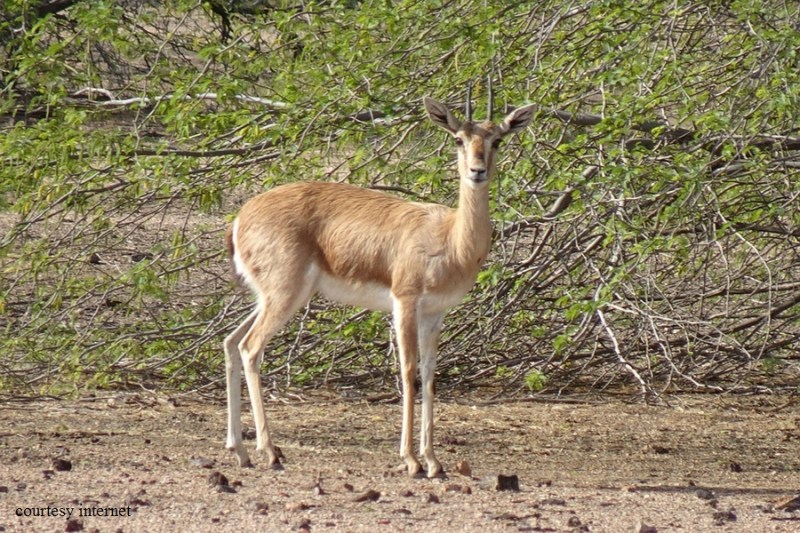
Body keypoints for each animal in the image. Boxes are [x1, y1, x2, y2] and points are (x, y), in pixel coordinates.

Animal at [223, 95, 535, 478]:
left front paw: (434, 461)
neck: (449, 238)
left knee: (231, 342)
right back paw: (270, 452)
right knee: (250, 348)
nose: (477, 171)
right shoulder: (405, 303)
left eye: (498, 140)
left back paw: (240, 451)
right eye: (458, 139)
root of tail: (241, 217)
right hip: (284, 296)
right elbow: (408, 372)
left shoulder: (435, 313)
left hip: (272, 297)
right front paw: (412, 460)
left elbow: (429, 375)